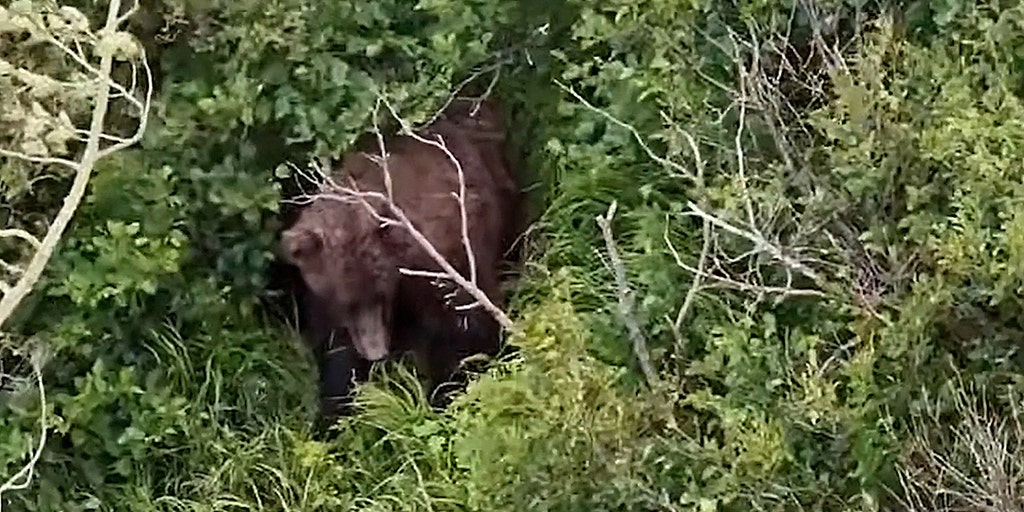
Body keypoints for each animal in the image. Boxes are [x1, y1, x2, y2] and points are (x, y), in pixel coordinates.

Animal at [277, 101, 519, 436]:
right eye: (345, 302)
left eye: (379, 294)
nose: (376, 352)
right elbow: (336, 353)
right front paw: (331, 416)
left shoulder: (442, 261)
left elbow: (465, 330)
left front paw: (445, 396)